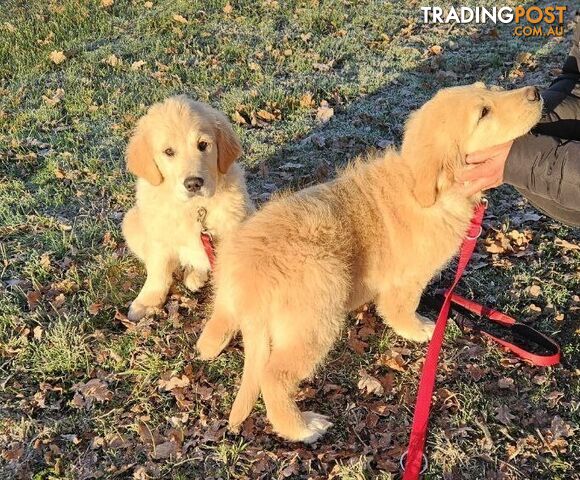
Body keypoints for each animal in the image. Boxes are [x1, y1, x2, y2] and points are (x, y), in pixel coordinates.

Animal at [123, 95, 253, 320]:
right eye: (168, 152)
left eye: (203, 145)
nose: (193, 184)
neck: (195, 208)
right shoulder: (159, 238)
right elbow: (158, 272)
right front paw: (147, 301)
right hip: (131, 222)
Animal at [196, 83, 544, 442]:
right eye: (483, 113)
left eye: (490, 90)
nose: (535, 92)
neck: (427, 190)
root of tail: (248, 283)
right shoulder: (409, 278)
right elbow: (401, 308)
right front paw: (419, 329)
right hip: (318, 310)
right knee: (273, 376)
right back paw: (303, 428)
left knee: (215, 330)